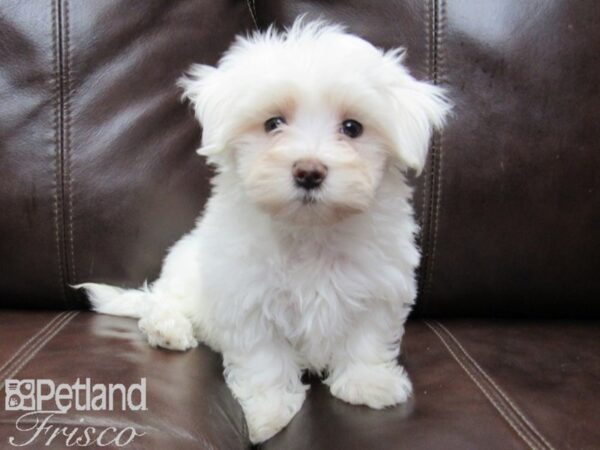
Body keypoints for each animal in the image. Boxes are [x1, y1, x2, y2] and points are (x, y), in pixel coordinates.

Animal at [77, 18, 450, 442]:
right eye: (273, 123)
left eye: (352, 128)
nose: (309, 171)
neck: (309, 233)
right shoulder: (248, 297)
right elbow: (264, 359)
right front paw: (269, 413)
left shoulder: (378, 286)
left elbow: (366, 337)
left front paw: (368, 383)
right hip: (186, 276)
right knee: (161, 301)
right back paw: (168, 329)